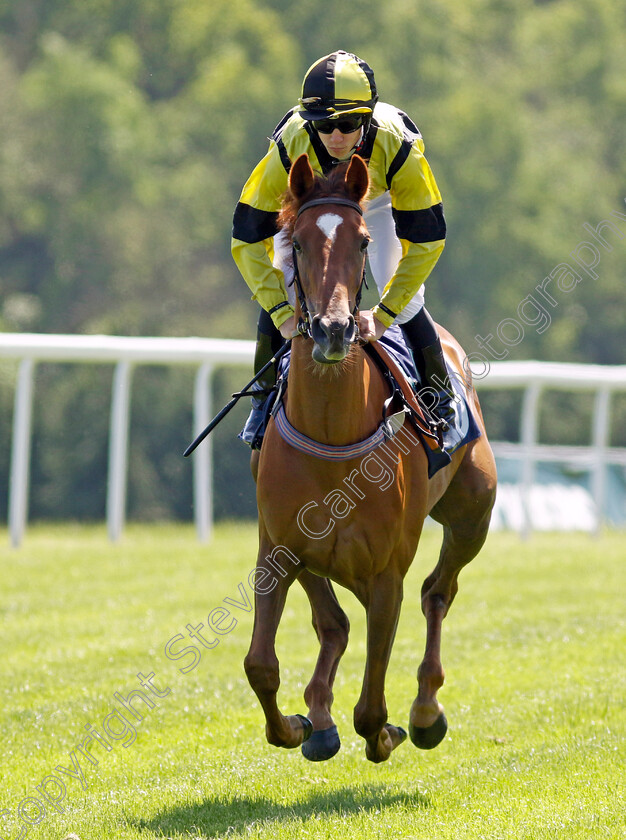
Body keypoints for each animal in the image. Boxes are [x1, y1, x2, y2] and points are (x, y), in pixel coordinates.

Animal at [246, 154, 494, 764]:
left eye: (360, 242)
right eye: (298, 243)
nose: (335, 330)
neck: (332, 436)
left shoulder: (386, 574)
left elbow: (372, 708)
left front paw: (388, 732)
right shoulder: (277, 549)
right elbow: (261, 664)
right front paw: (297, 725)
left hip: (472, 517)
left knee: (438, 593)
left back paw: (425, 712)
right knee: (334, 622)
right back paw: (318, 718)